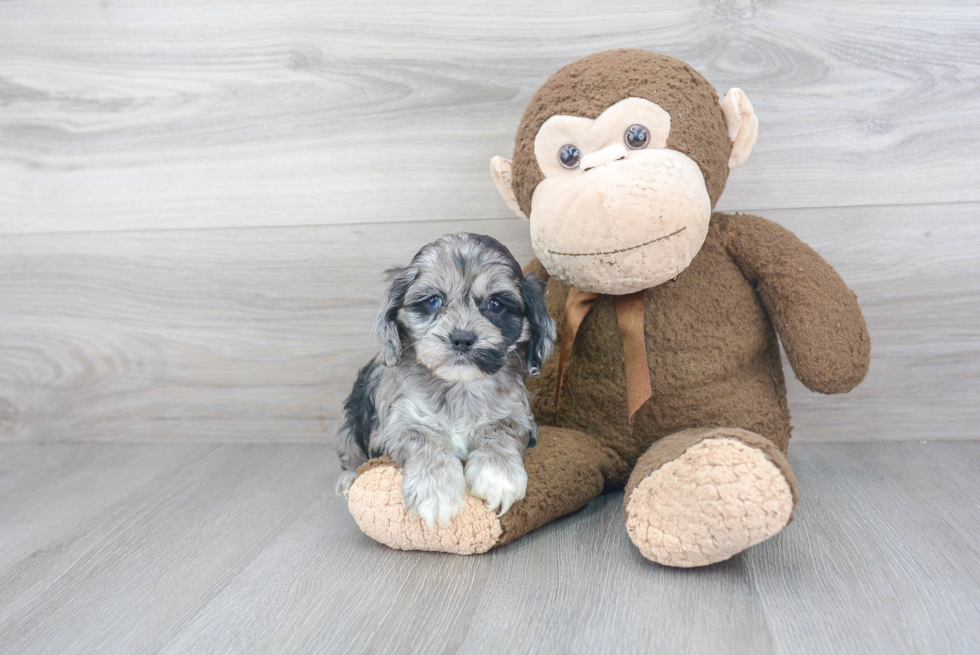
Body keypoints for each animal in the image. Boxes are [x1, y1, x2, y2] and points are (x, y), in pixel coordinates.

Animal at [334, 233, 552, 532]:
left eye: (496, 305)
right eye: (433, 301)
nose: (462, 338)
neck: (459, 386)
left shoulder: (518, 415)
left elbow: (497, 427)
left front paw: (497, 474)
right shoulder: (396, 423)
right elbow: (423, 436)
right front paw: (435, 491)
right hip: (350, 422)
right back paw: (347, 480)